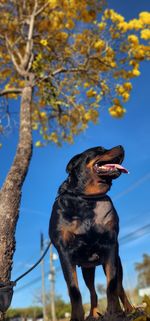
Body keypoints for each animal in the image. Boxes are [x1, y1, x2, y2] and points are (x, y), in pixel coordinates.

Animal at [48, 146, 132, 320]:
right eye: (98, 150)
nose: (121, 147)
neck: (87, 199)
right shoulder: (64, 253)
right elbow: (74, 291)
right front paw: (76, 317)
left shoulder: (110, 246)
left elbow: (112, 286)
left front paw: (114, 311)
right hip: (87, 270)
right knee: (93, 292)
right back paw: (93, 314)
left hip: (116, 262)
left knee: (119, 287)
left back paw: (128, 309)